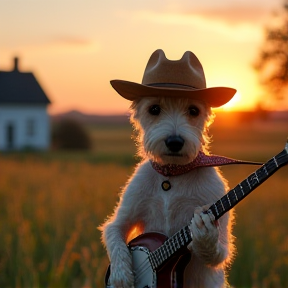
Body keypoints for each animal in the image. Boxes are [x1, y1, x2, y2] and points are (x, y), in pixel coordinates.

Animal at [100, 49, 236, 288]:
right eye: (154, 109)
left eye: (193, 110)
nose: (174, 142)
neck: (172, 175)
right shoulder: (123, 215)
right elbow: (114, 233)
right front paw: (120, 276)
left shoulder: (216, 207)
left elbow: (218, 251)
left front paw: (204, 237)